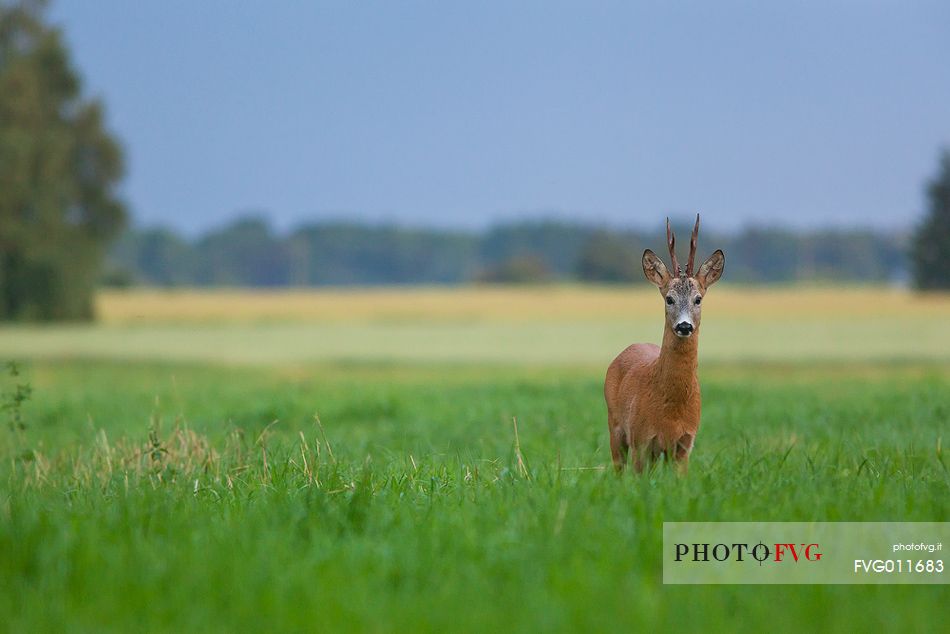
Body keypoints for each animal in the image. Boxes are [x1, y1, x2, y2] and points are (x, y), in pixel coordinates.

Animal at [608, 215, 724, 472]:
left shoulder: (685, 443)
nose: (684, 326)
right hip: (615, 426)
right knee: (618, 468)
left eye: (698, 299)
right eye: (669, 299)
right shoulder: (640, 439)